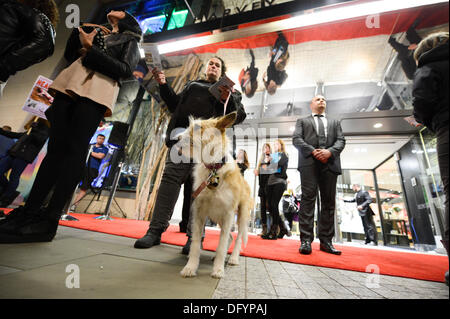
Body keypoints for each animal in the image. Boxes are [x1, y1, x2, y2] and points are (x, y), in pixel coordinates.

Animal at [177, 113, 253, 280]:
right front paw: (190, 267)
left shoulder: (228, 214)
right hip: (218, 218)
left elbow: (222, 244)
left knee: (237, 238)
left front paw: (218, 270)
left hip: (241, 216)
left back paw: (233, 258)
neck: (213, 170)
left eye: (197, 127)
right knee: (230, 237)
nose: (176, 138)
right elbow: (195, 242)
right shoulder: (199, 212)